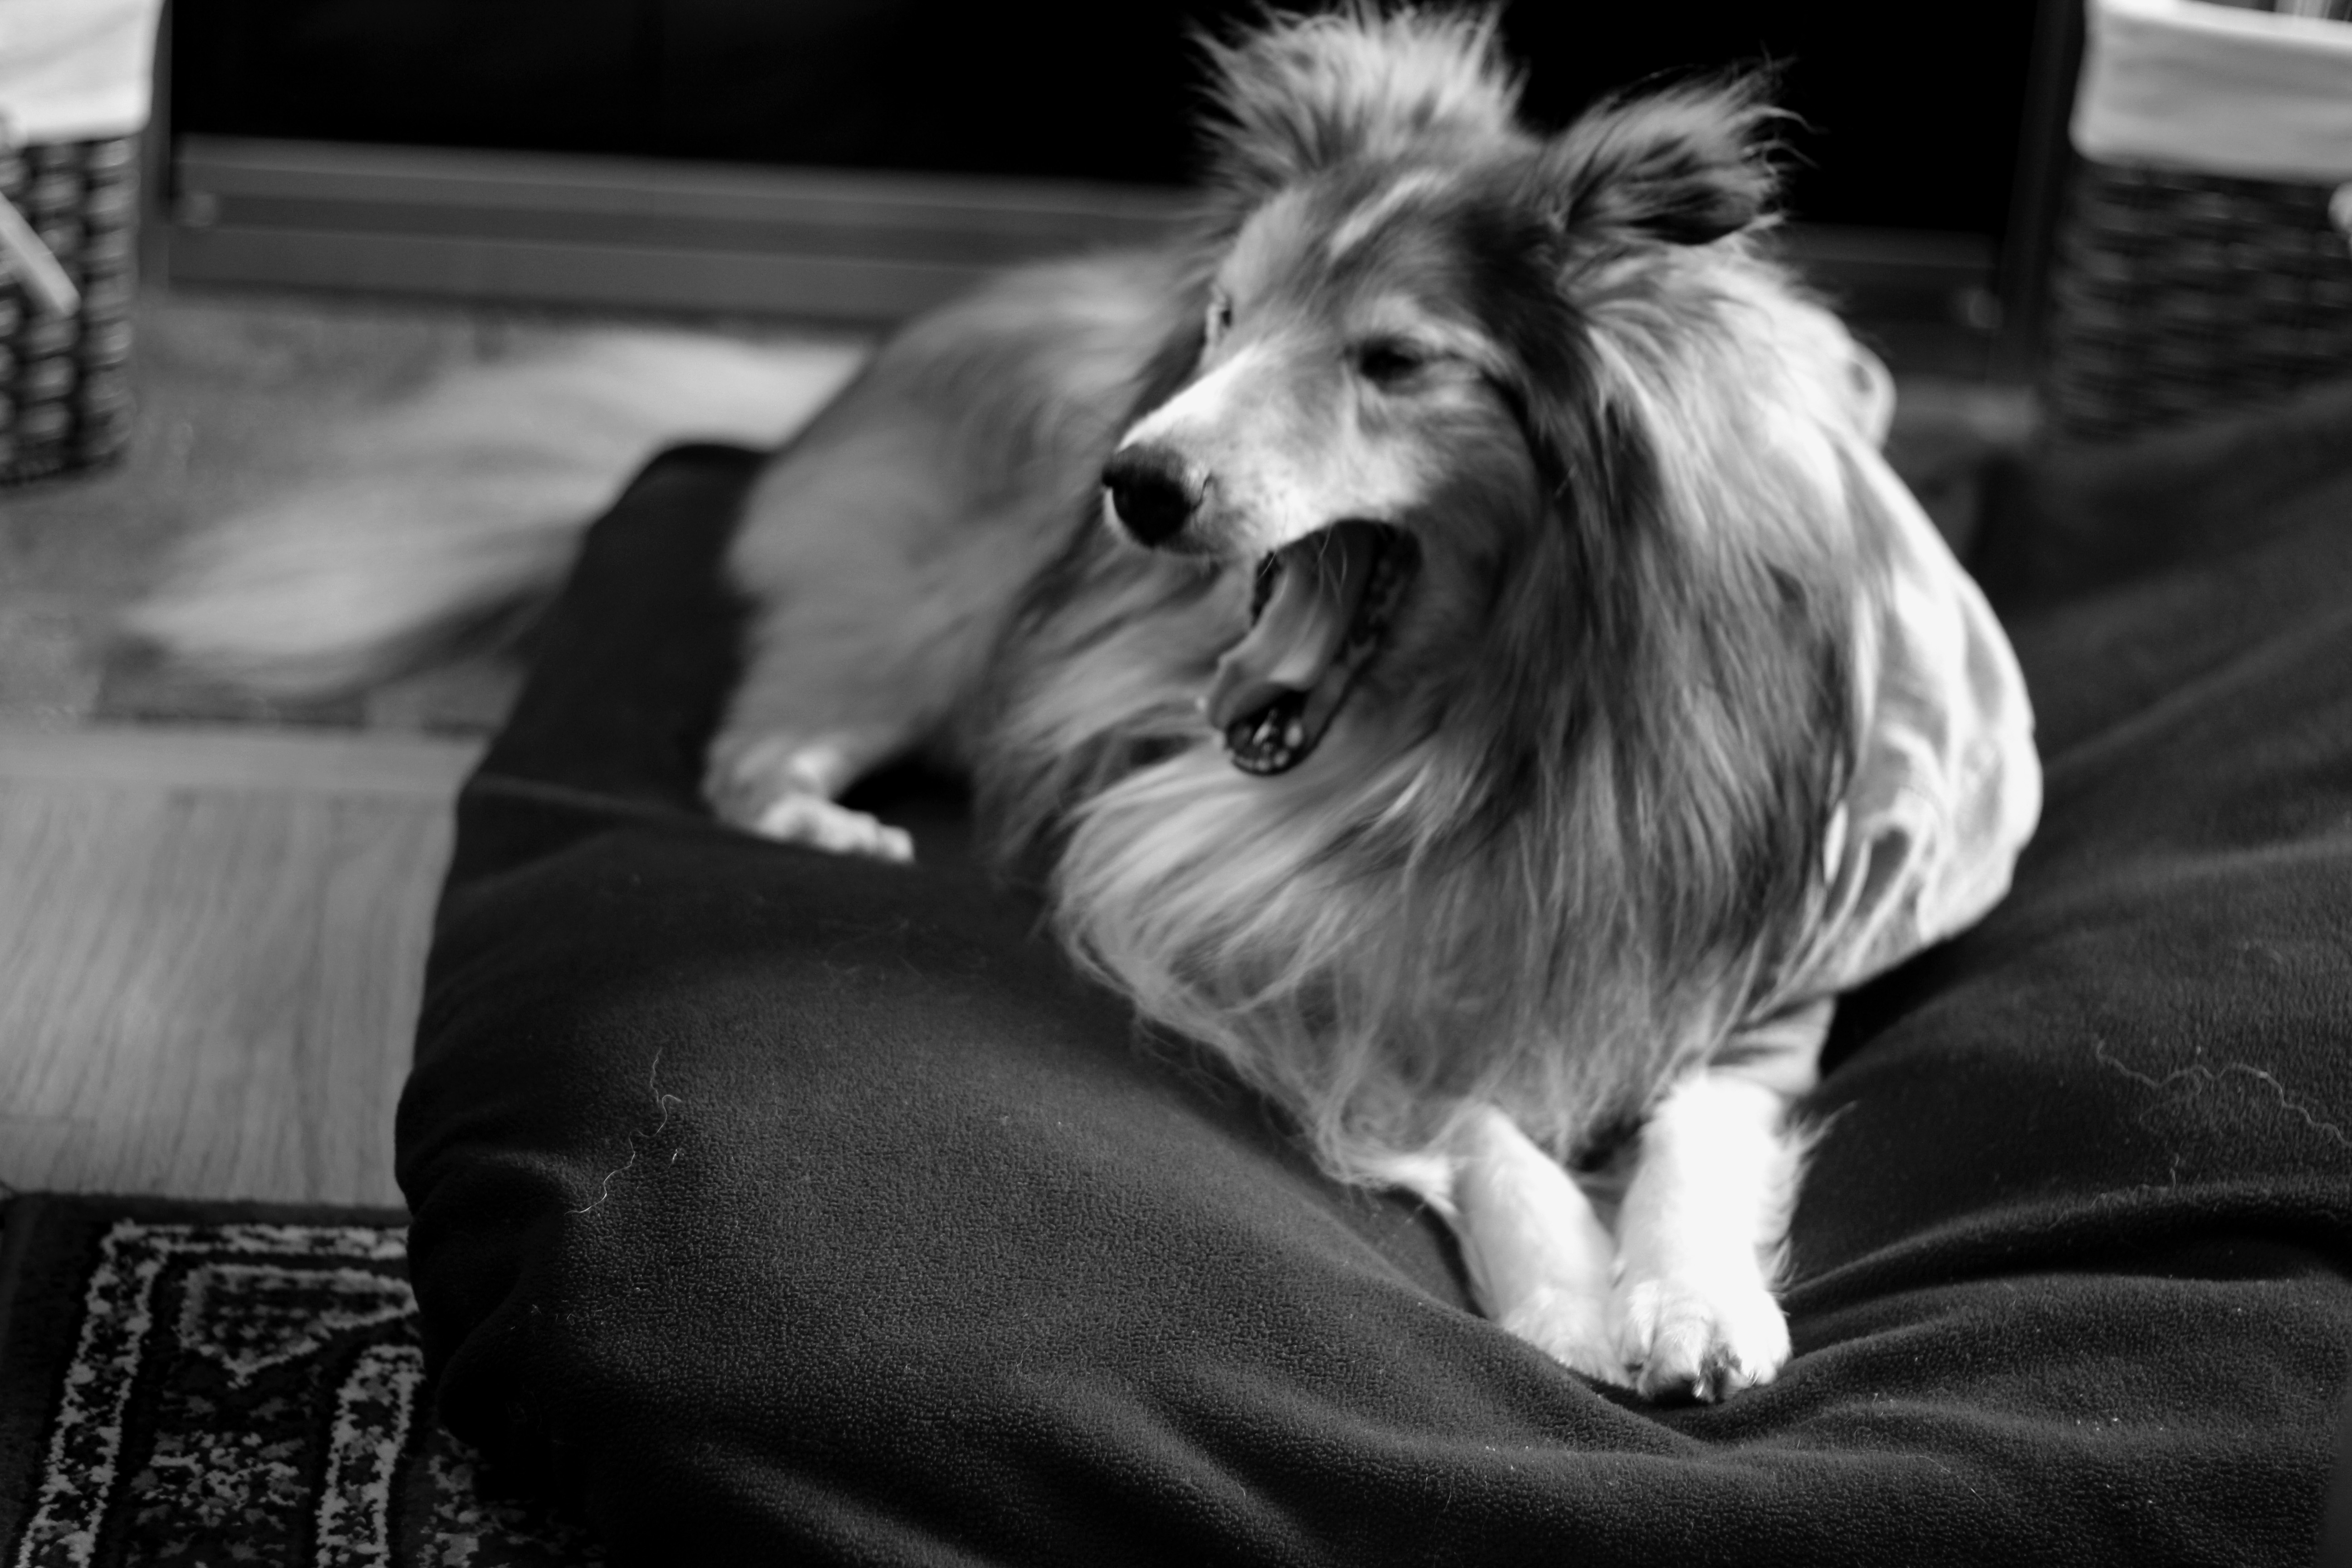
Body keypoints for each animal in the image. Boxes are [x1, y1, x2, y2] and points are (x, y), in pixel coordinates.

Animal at [130, 8, 2040, 1401]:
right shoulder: (1310, 961)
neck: (1485, 740)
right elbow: (1481, 1122)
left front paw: (1691, 1306)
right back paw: (829, 818)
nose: (1132, 484)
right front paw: (1568, 1302)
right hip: (961, 606)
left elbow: (1697, 1142)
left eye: (1394, 361)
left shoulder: (1761, 980)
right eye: (1226, 320)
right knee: (763, 721)